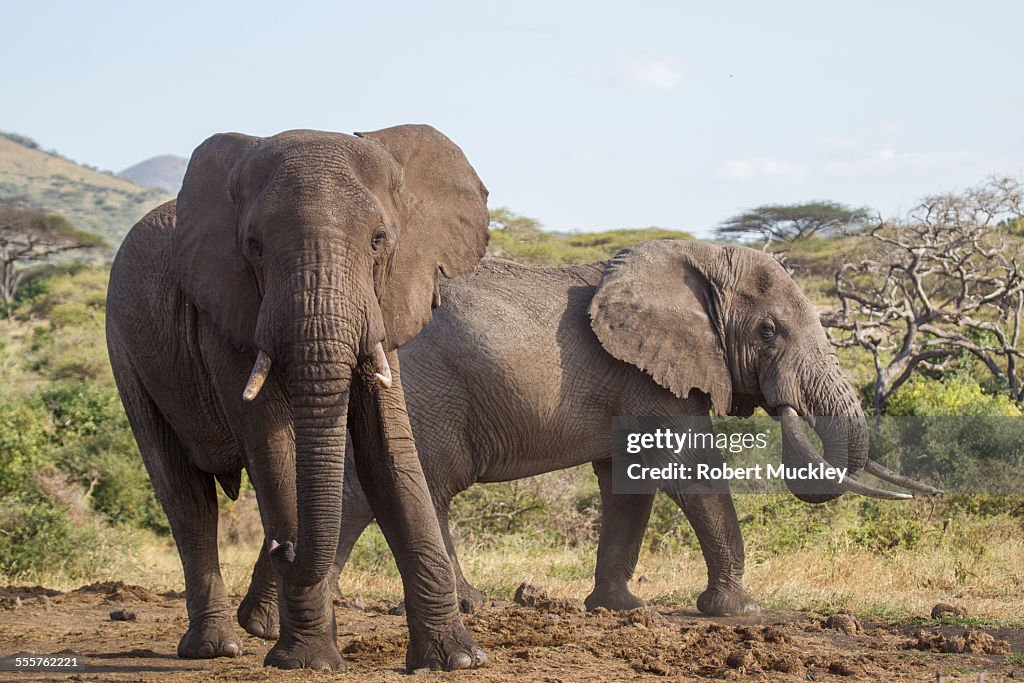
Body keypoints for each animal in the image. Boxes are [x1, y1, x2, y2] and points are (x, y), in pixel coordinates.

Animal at [104, 124, 491, 671]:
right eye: (254, 246)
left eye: (379, 240)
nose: (284, 548)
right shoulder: (225, 311)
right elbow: (273, 448)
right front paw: (307, 662)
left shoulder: (386, 303)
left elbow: (390, 452)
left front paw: (456, 660)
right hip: (126, 350)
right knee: (184, 495)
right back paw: (217, 646)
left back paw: (259, 627)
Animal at [237, 242, 937, 626]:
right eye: (769, 332)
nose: (783, 403)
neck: (697, 259)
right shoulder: (650, 380)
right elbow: (689, 470)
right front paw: (739, 612)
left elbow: (630, 480)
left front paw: (619, 610)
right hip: (423, 391)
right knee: (417, 485)